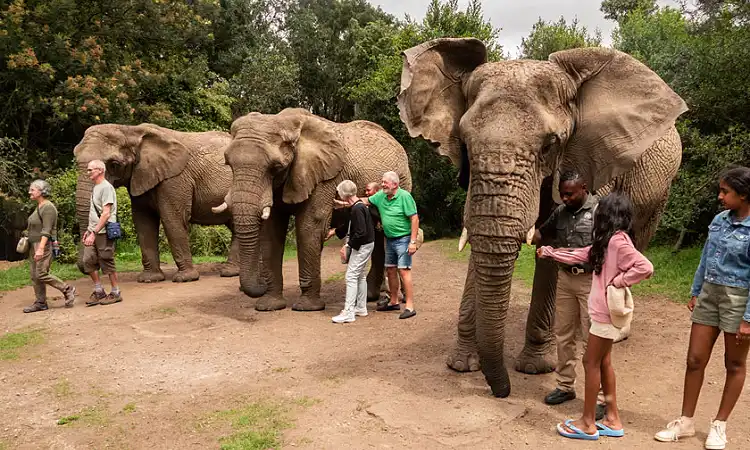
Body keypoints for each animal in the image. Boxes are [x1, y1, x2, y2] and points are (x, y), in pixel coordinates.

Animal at [73, 123, 239, 282]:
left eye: (114, 164)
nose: (91, 265)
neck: (131, 130)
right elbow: (143, 222)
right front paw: (149, 279)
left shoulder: (175, 178)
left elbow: (172, 219)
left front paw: (185, 279)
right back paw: (231, 271)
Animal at [217, 108, 412, 312]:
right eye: (228, 164)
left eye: (276, 167)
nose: (258, 284)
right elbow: (271, 232)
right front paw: (269, 306)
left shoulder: (324, 179)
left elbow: (309, 228)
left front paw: (306, 307)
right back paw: (371, 297)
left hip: (403, 181)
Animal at [397, 38, 687, 398]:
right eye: (464, 142)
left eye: (550, 145)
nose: (502, 391)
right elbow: (480, 234)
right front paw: (462, 364)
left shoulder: (588, 157)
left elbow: (553, 240)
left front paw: (535, 367)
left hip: (656, 187)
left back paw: (613, 332)